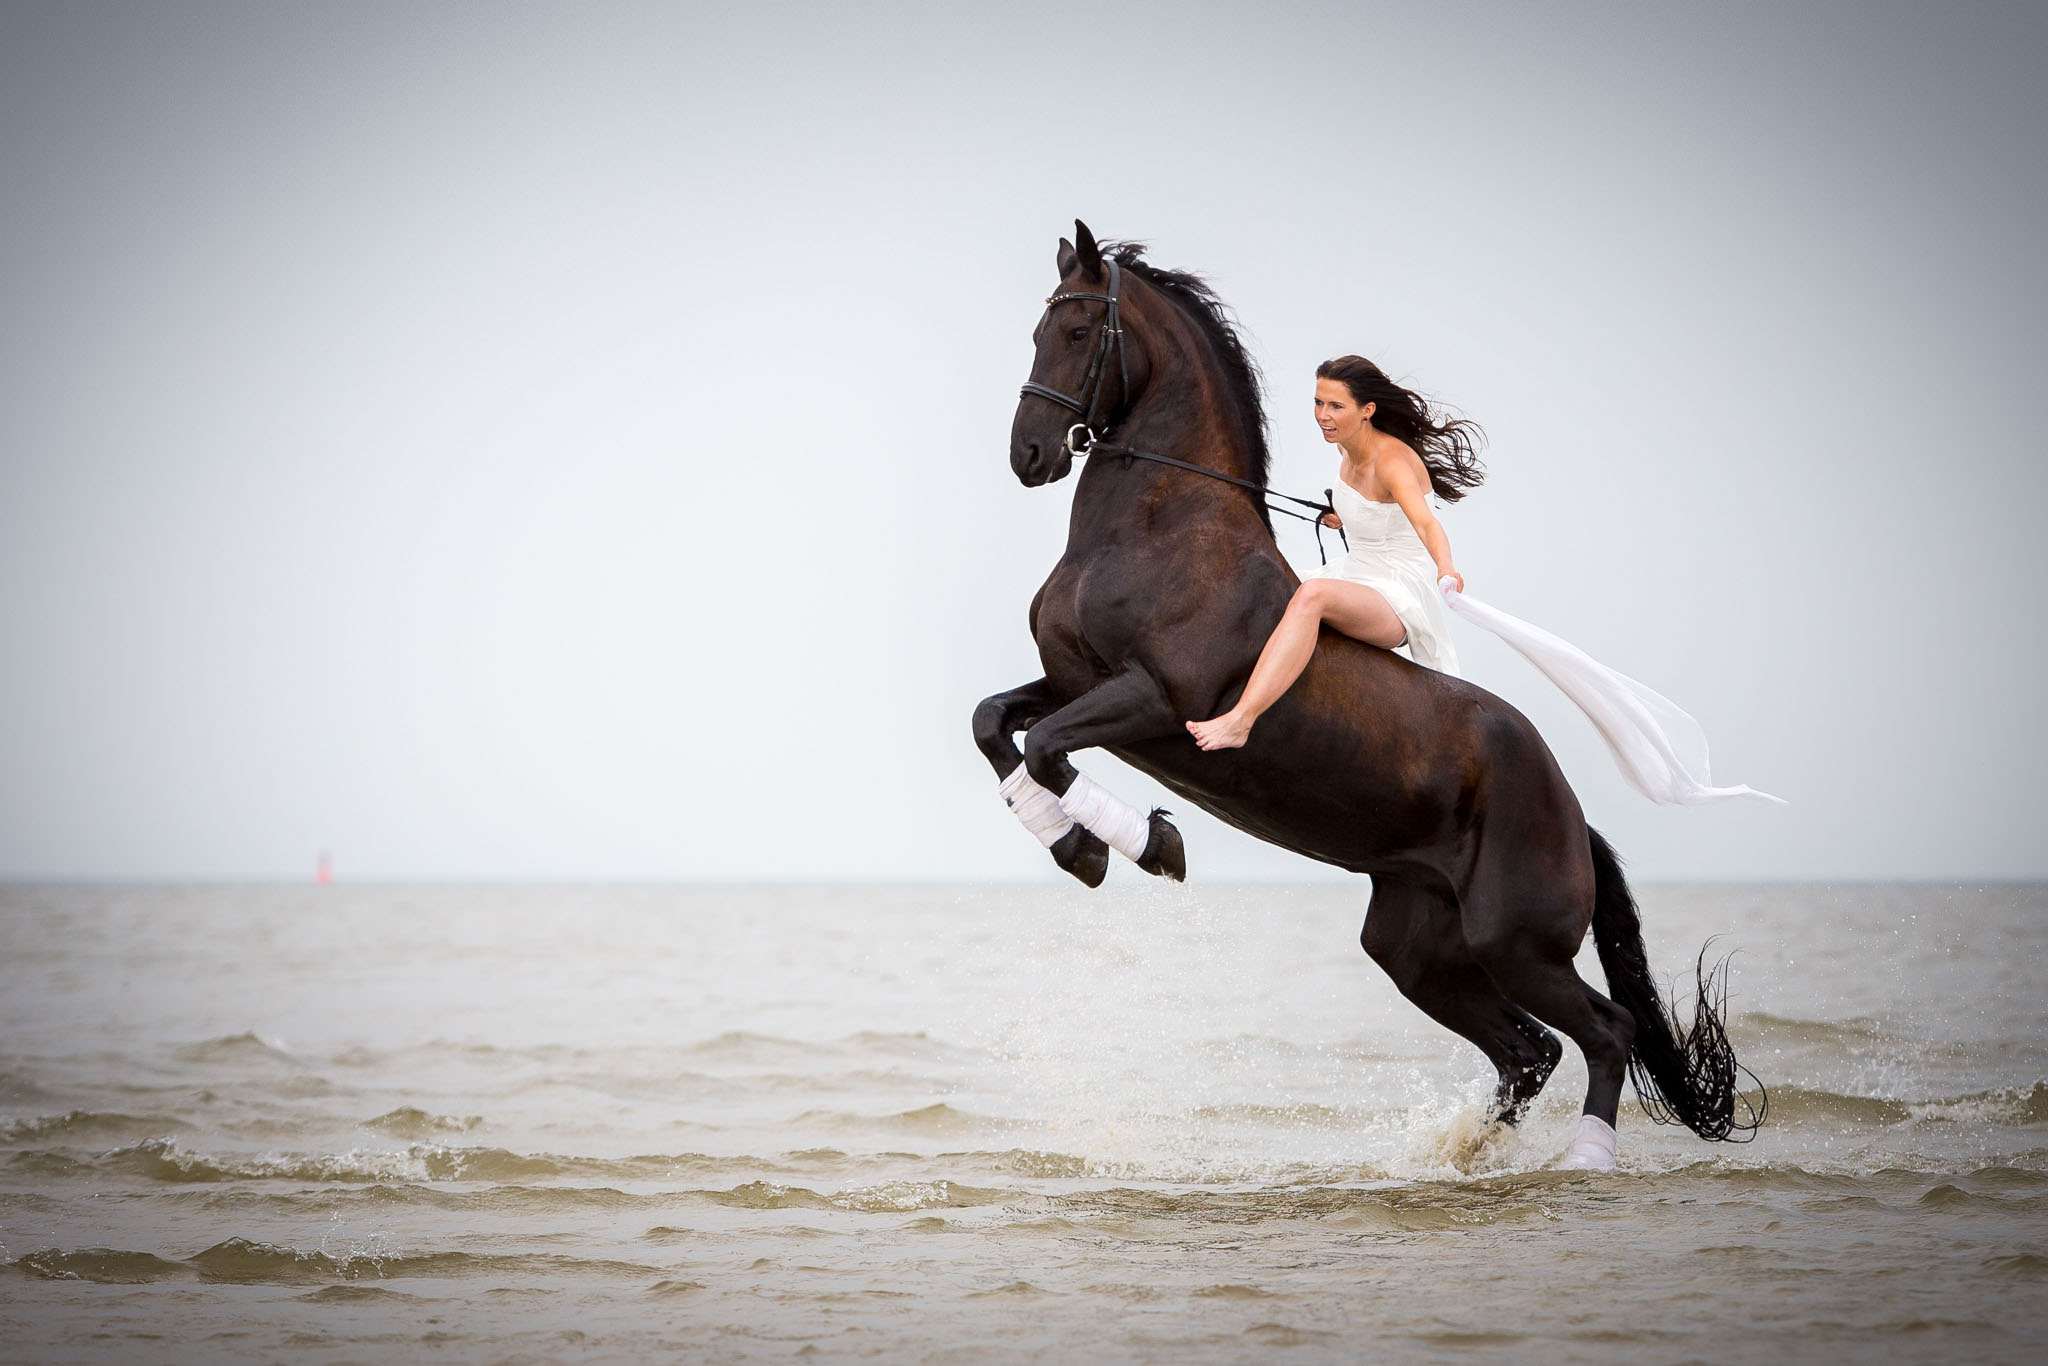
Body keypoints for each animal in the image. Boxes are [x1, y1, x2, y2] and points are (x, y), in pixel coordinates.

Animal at [971, 221, 1759, 1157]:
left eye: (1079, 331)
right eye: (1037, 330)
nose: (1028, 456)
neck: (1158, 530)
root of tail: (1571, 812)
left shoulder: (1155, 703)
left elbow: (1048, 748)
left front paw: (1141, 846)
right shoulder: (1072, 681)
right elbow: (996, 726)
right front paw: (1083, 848)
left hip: (1516, 944)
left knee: (1605, 1031)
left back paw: (1584, 1161)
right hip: (1417, 948)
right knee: (1528, 1052)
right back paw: (1462, 1158)